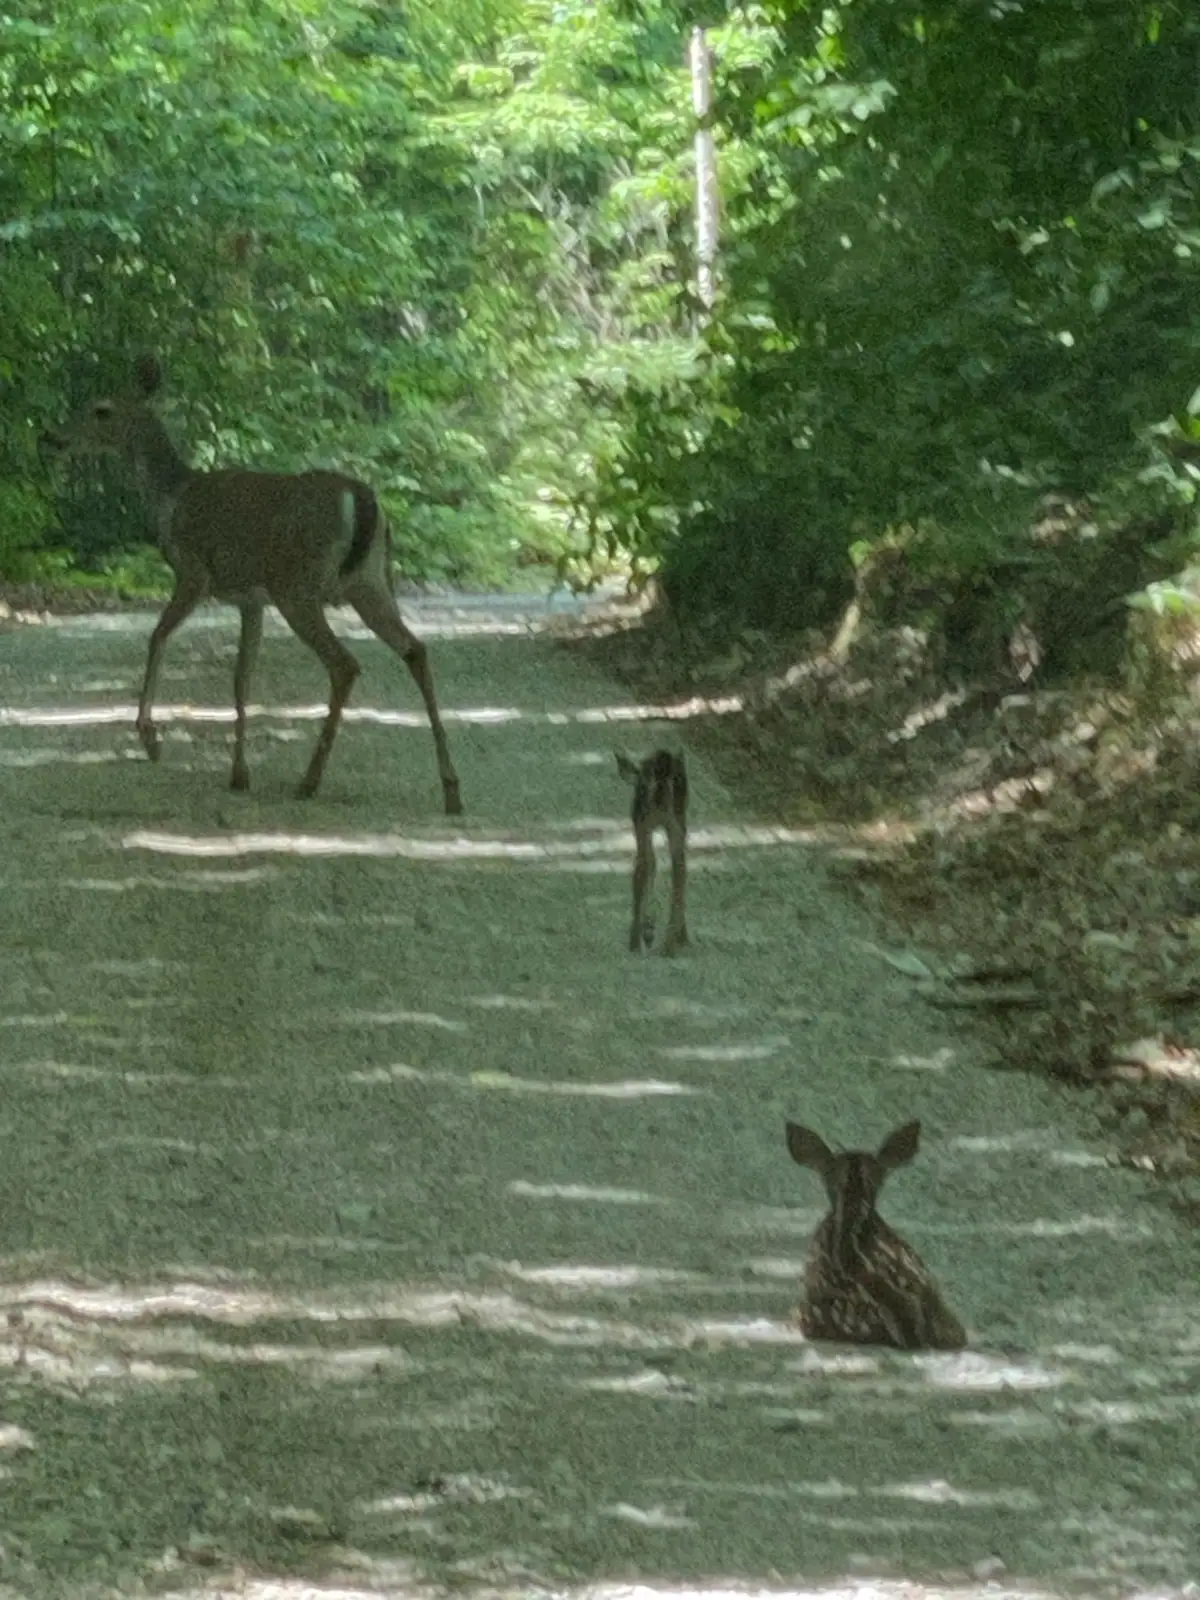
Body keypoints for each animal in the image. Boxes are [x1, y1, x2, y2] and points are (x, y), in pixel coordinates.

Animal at [40, 356, 462, 812]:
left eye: (101, 410)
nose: (52, 436)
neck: (171, 498)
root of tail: (363, 501)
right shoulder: (250, 600)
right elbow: (242, 676)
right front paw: (239, 773)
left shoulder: (194, 571)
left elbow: (157, 638)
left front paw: (150, 739)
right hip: (370, 582)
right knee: (415, 649)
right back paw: (451, 788)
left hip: (298, 586)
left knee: (345, 663)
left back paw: (310, 781)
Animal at [615, 748, 689, 955]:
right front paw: (649, 929)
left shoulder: (640, 822)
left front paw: (646, 930)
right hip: (676, 819)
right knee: (678, 865)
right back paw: (673, 941)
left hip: (649, 818)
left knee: (649, 863)